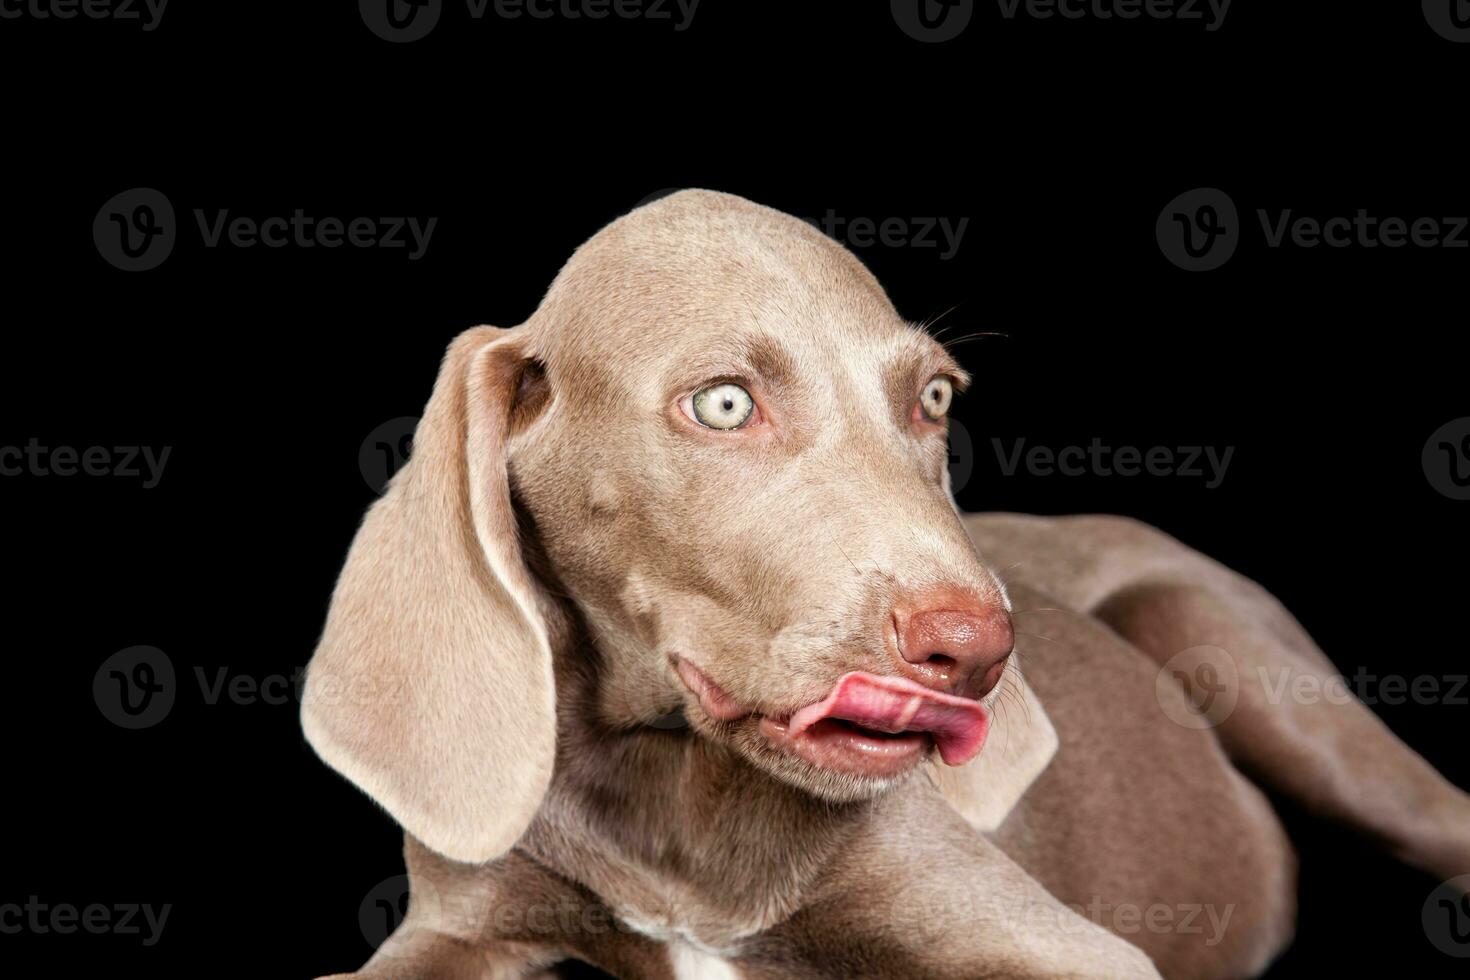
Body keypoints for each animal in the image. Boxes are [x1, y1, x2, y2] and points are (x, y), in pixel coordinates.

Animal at [301, 191, 1470, 980]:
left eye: (935, 398)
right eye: (724, 403)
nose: (977, 648)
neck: (672, 794)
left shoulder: (1061, 947)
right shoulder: (456, 925)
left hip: (1227, 643)